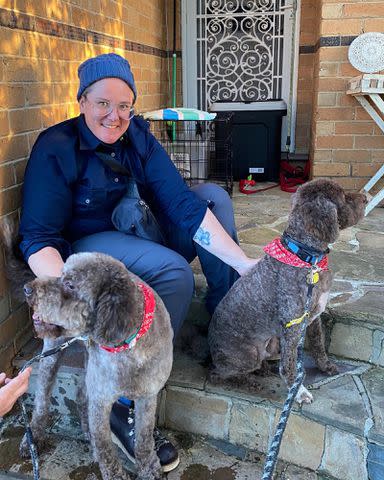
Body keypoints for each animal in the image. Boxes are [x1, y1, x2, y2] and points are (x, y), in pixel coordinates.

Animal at [0, 221, 172, 480]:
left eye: (70, 284)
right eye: (61, 274)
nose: (28, 289)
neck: (128, 347)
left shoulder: (147, 396)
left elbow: (143, 438)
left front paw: (149, 467)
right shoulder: (101, 399)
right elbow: (105, 447)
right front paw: (114, 474)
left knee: (82, 395)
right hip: (52, 356)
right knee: (42, 401)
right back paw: (34, 437)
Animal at [207, 178, 366, 404]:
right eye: (344, 196)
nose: (366, 198)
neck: (306, 258)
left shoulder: (313, 317)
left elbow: (318, 345)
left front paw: (325, 367)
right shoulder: (293, 326)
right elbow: (289, 364)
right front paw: (298, 391)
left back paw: (263, 370)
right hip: (249, 353)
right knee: (217, 374)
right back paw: (249, 382)